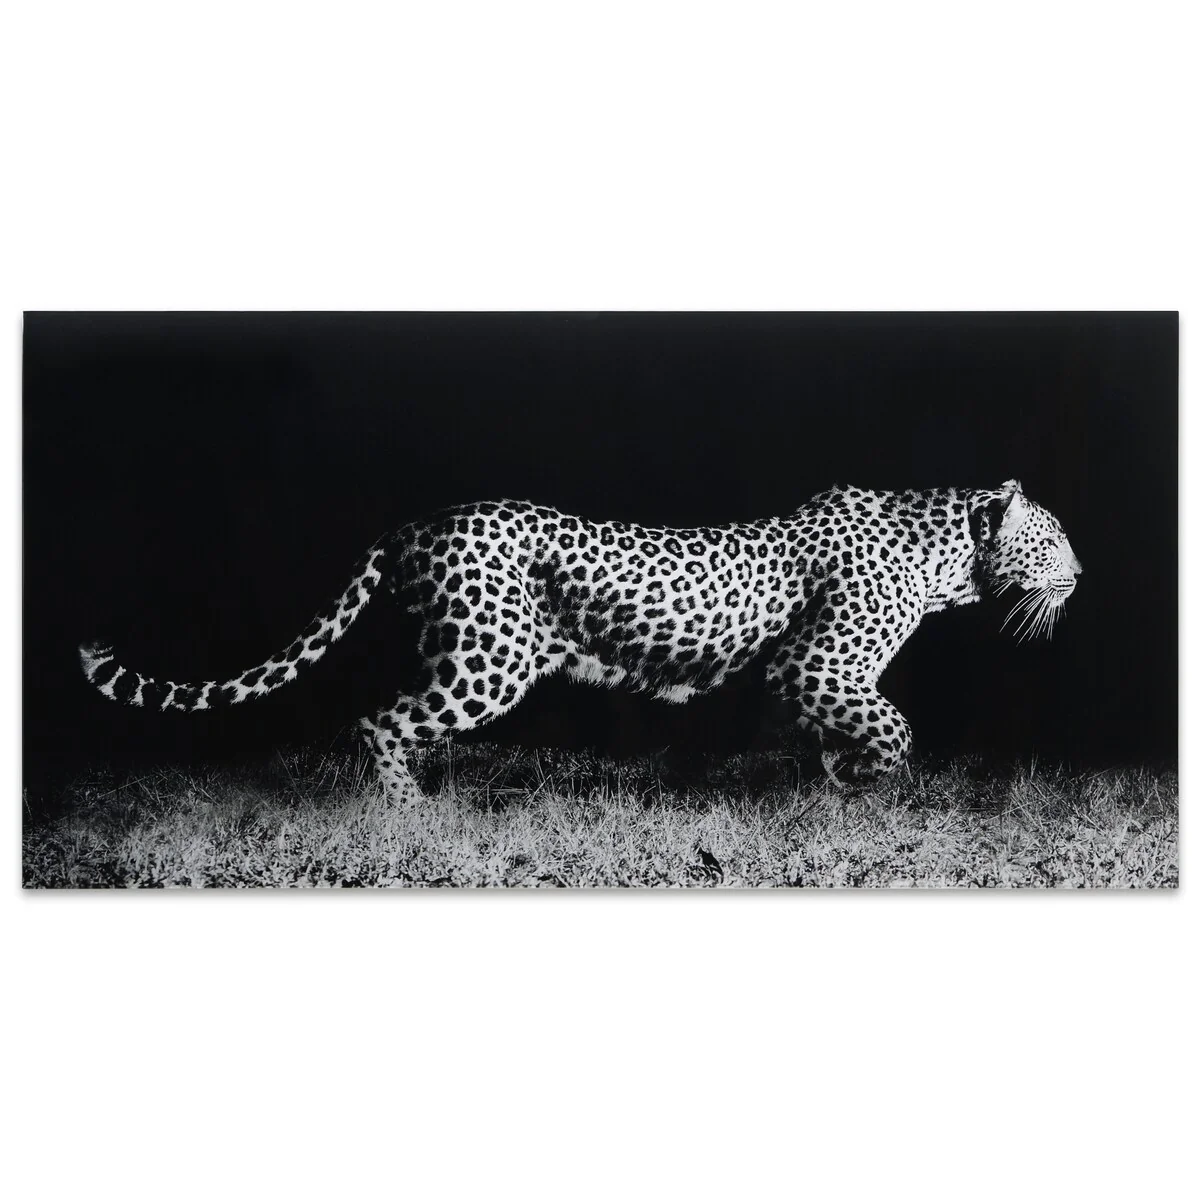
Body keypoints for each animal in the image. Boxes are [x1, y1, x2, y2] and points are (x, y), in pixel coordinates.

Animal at [79, 479, 1082, 804]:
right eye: (1056, 537)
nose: (1082, 574)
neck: (949, 560)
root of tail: (413, 524)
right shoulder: (817, 664)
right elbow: (893, 728)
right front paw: (871, 780)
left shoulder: (797, 679)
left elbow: (829, 734)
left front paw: (835, 783)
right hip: (490, 660)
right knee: (379, 720)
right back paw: (412, 812)